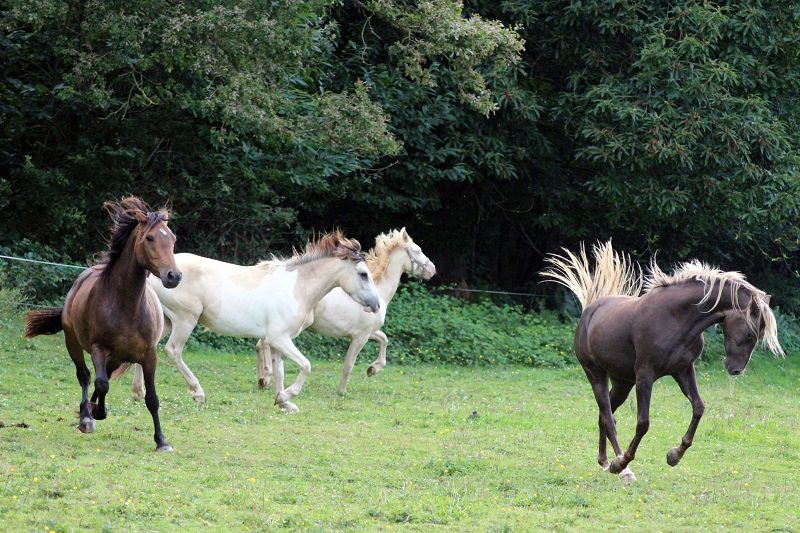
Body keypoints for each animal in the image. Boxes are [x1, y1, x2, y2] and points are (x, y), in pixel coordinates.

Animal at [24, 197, 181, 451]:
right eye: (150, 238)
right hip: (74, 344)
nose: (173, 276)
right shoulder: (99, 349)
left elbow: (152, 398)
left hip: (116, 359)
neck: (127, 306)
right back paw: (87, 416)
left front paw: (161, 441)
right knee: (86, 376)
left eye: (173, 238)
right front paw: (94, 414)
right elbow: (101, 383)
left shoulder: (149, 355)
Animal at [130, 230, 381, 411]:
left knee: (150, 347)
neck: (297, 288)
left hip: (166, 321)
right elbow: (306, 365)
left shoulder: (279, 342)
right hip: (185, 319)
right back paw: (197, 393)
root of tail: (159, 273)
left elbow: (279, 371)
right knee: (173, 351)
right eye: (363, 274)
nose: (376, 305)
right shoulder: (279, 338)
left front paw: (282, 401)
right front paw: (288, 395)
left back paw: (138, 393)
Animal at [255, 227, 436, 394]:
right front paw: (342, 391)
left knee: (260, 344)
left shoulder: (368, 332)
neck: (379, 292)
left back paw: (263, 379)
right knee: (264, 344)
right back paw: (266, 378)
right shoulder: (360, 337)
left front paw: (373, 369)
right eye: (417, 250)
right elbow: (349, 364)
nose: (432, 270)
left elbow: (384, 339)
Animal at [542, 241, 783, 481]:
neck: (675, 317)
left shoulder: (683, 370)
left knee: (605, 415)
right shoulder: (645, 375)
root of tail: (589, 311)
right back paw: (621, 468)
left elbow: (698, 408)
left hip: (623, 382)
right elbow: (643, 423)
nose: (735, 370)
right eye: (750, 334)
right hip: (596, 374)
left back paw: (604, 461)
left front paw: (674, 455)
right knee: (609, 418)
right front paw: (624, 462)